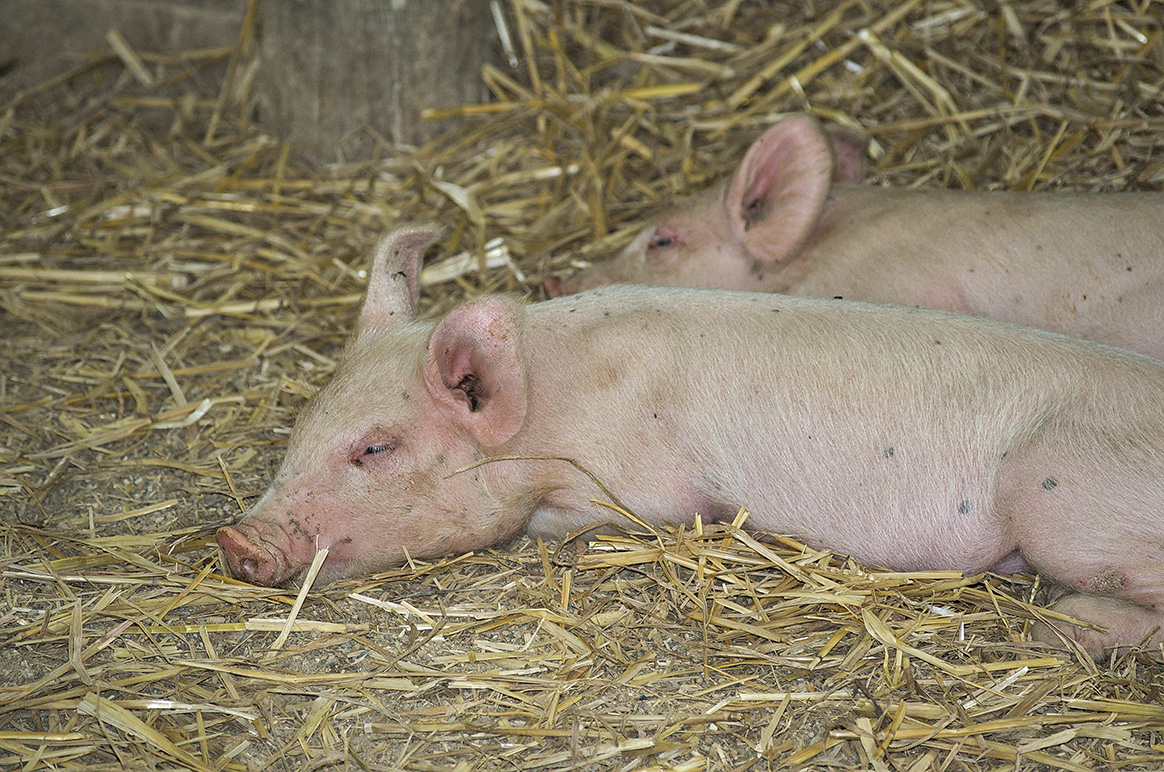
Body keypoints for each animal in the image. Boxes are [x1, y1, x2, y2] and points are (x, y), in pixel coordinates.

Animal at [218, 227, 1164, 661]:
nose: (234, 540)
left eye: (374, 450)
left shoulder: (641, 493)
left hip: (1062, 498)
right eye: (304, 426)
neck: (557, 403)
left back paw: (1063, 628)